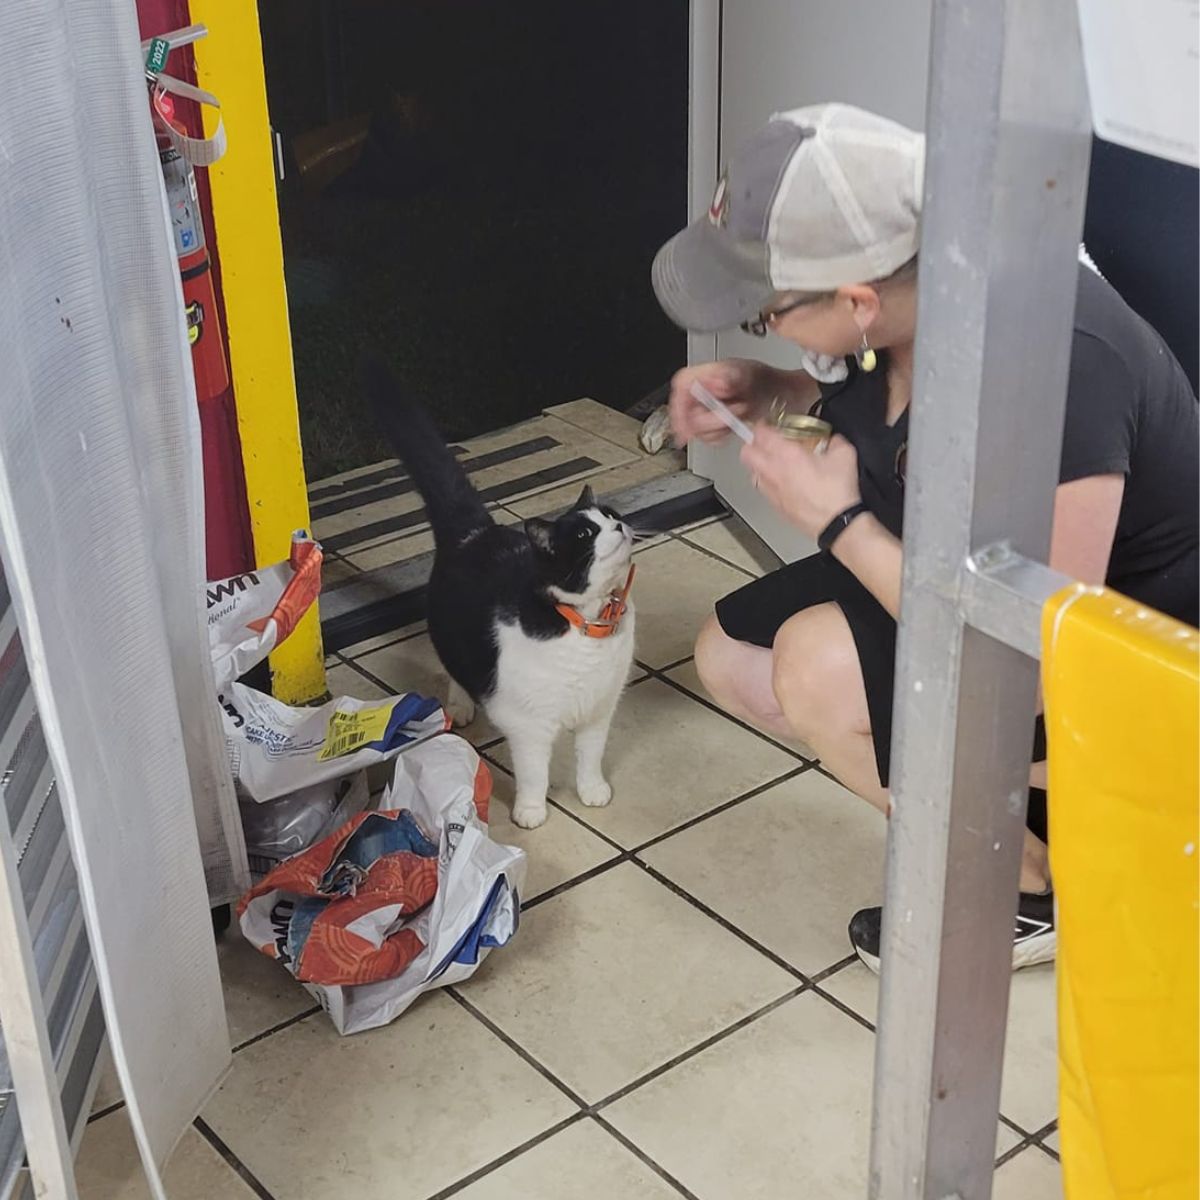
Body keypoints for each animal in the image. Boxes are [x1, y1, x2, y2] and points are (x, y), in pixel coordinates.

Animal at [364, 352, 638, 825]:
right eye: (586, 534)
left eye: (611, 515)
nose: (619, 526)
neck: (589, 624)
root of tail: (476, 531)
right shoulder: (530, 726)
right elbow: (534, 773)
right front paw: (530, 811)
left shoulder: (599, 711)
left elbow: (590, 756)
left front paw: (592, 791)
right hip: (451, 634)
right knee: (455, 666)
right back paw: (461, 706)